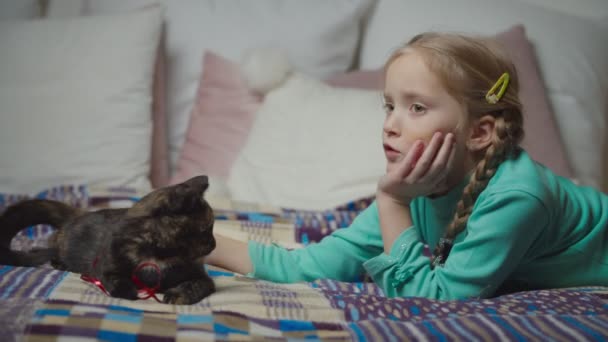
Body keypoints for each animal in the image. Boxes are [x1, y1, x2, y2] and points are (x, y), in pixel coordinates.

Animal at [0, 176, 217, 304]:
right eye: (206, 229)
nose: (214, 244)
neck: (157, 254)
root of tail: (79, 213)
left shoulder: (202, 278)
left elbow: (194, 286)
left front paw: (177, 294)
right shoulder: (106, 268)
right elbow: (116, 281)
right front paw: (128, 290)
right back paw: (60, 263)